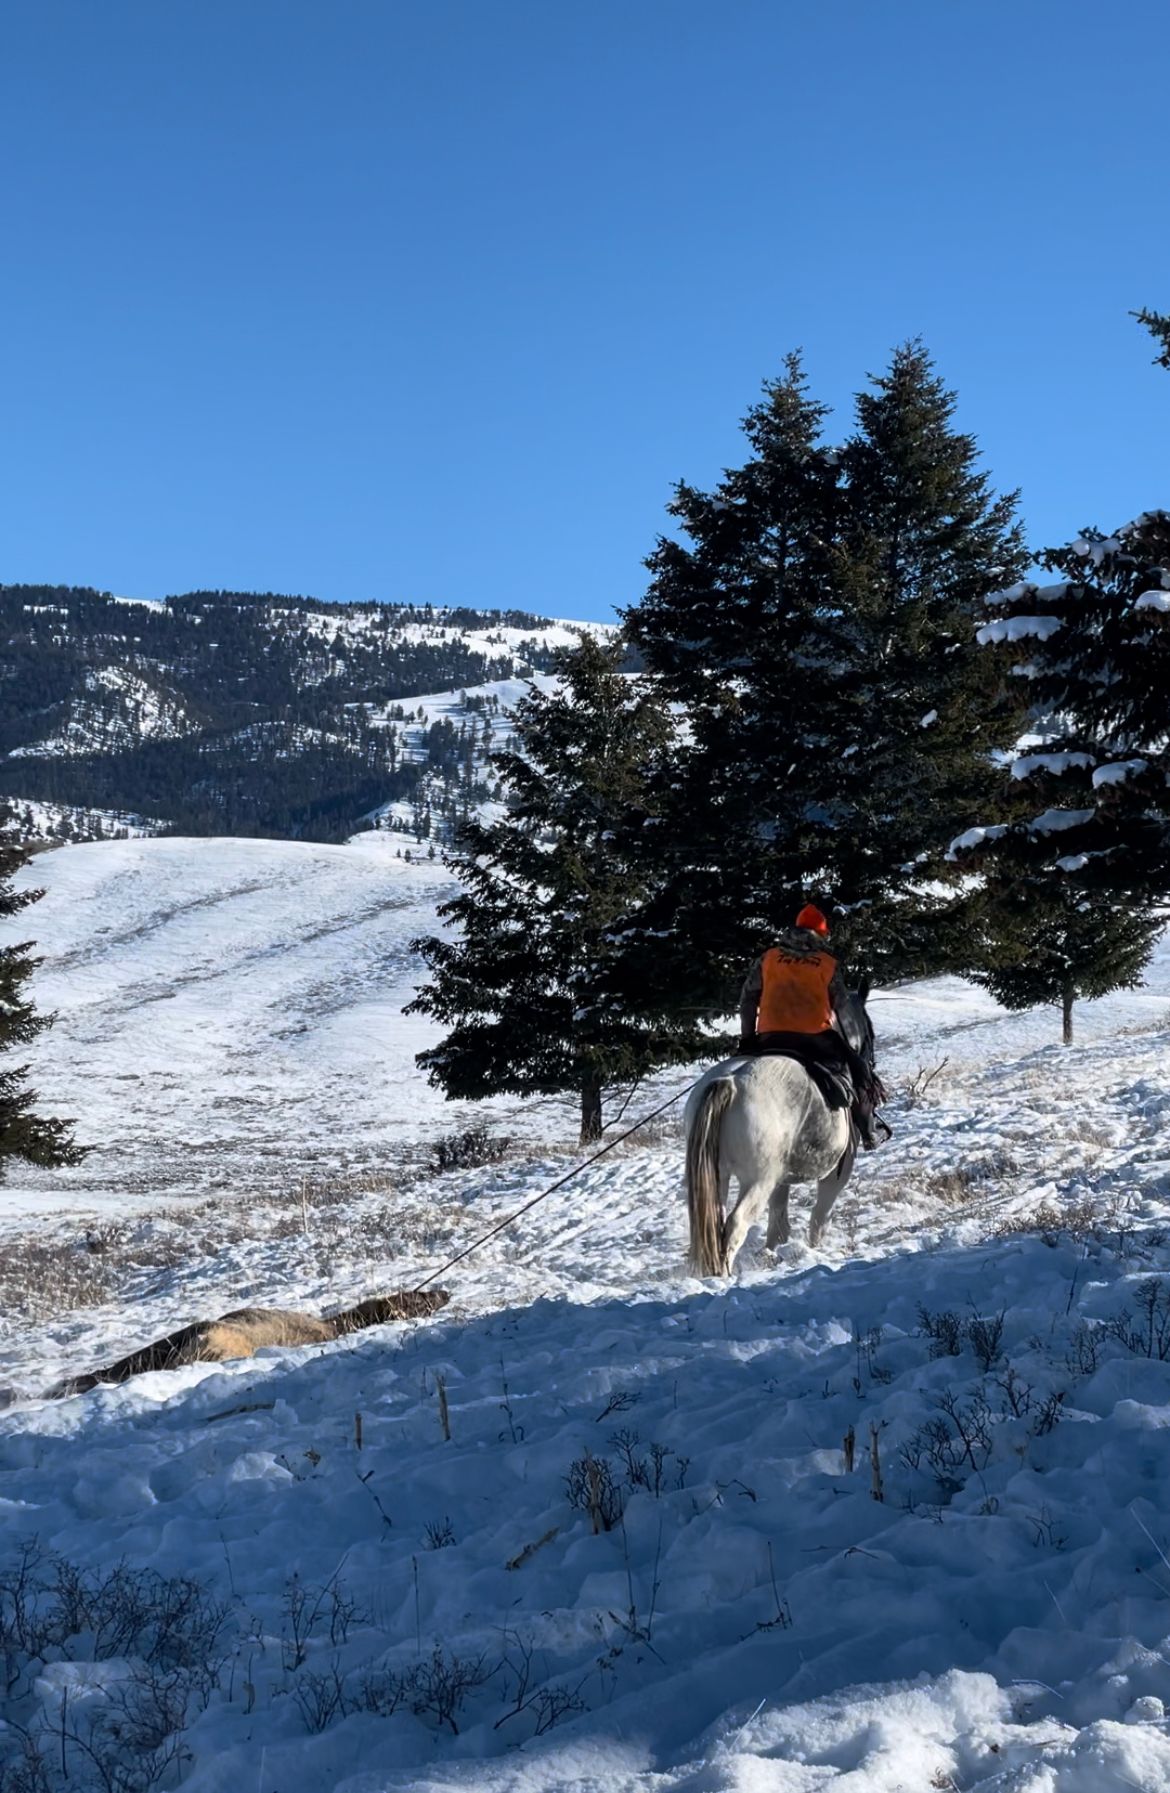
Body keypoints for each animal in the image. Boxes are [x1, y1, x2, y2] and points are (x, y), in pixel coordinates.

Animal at [684, 996, 867, 1276]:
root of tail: (729, 1083)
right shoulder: (835, 1175)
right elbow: (819, 1218)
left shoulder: (781, 1180)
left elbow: (778, 1222)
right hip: (758, 1181)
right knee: (736, 1224)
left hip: (719, 1176)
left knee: (716, 1222)